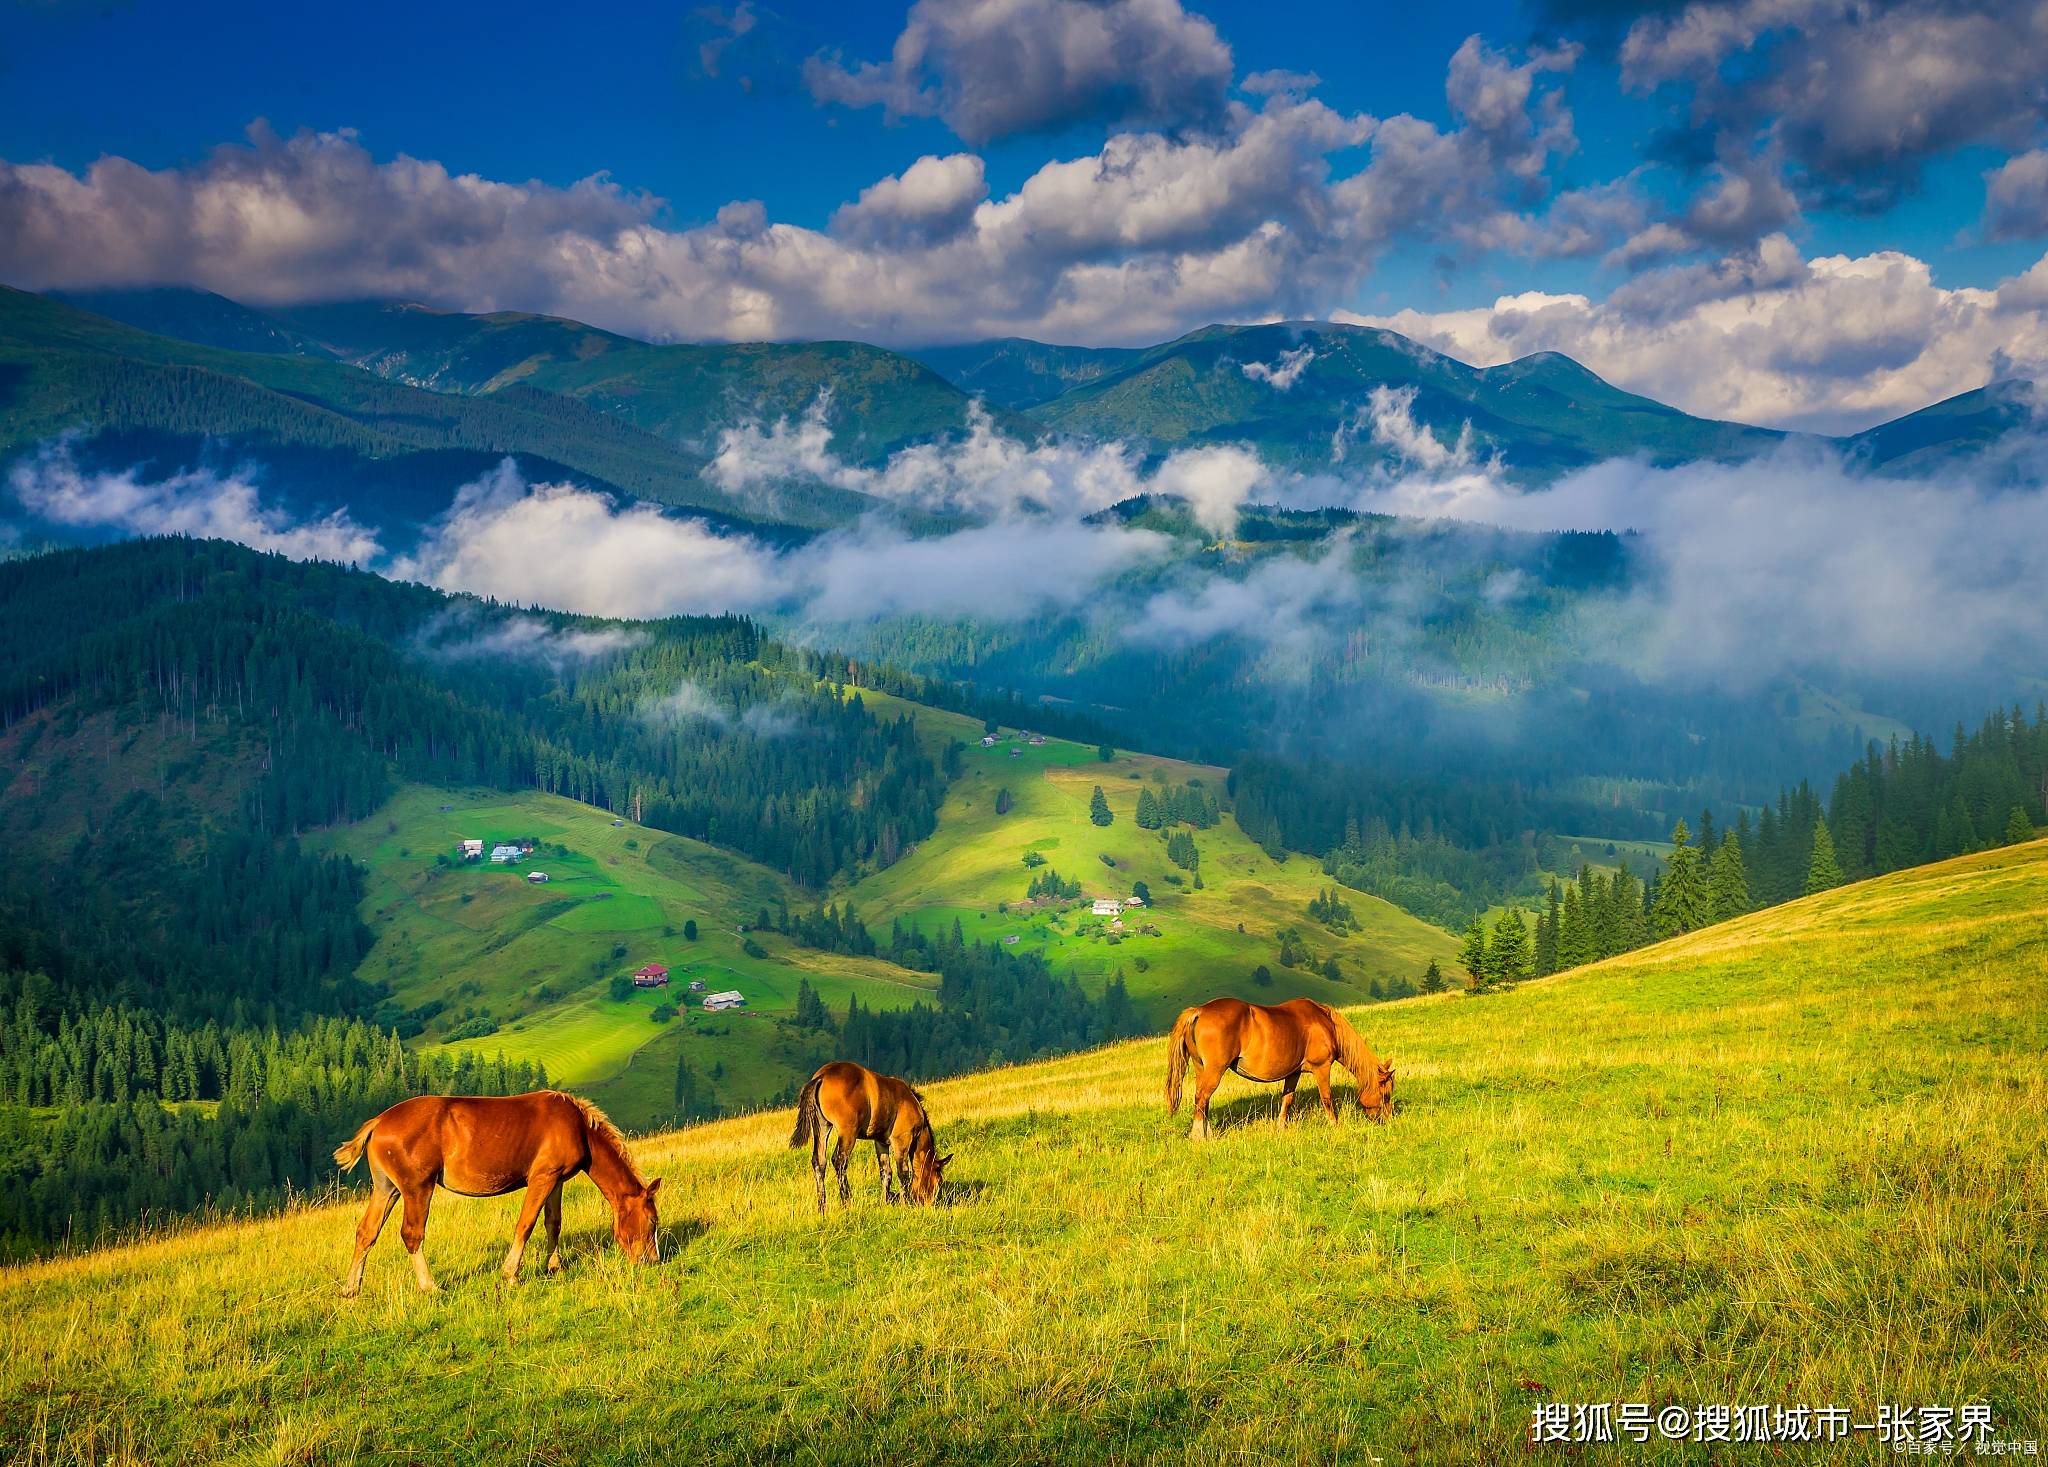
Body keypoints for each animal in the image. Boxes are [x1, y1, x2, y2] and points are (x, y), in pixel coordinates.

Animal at [331, 1090, 659, 1294]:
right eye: (652, 1221)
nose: (653, 1261)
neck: (577, 1127)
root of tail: (379, 1122)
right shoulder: (542, 1177)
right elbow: (526, 1224)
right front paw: (511, 1274)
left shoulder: (557, 1180)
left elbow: (553, 1223)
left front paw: (554, 1267)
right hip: (417, 1188)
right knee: (412, 1234)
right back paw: (430, 1286)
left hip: (386, 1189)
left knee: (366, 1232)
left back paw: (351, 1288)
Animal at [790, 1057, 950, 1212]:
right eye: (938, 1182)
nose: (930, 1205)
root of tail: (822, 1076)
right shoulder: (902, 1140)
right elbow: (903, 1172)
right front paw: (905, 1204)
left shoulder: (881, 1142)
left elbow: (886, 1172)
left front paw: (885, 1203)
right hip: (848, 1132)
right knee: (839, 1161)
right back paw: (847, 1203)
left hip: (822, 1127)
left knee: (819, 1162)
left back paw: (822, 1208)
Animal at [1171, 995, 1392, 1147]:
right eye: (1386, 1095)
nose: (1387, 1121)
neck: (1324, 1023)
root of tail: (1199, 1011)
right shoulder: (1322, 1068)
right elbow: (1326, 1098)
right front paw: (1334, 1124)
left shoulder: (1293, 1073)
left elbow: (1287, 1099)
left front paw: (1280, 1127)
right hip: (1215, 1071)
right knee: (1202, 1098)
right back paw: (1199, 1137)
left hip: (1202, 1069)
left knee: (1203, 1101)